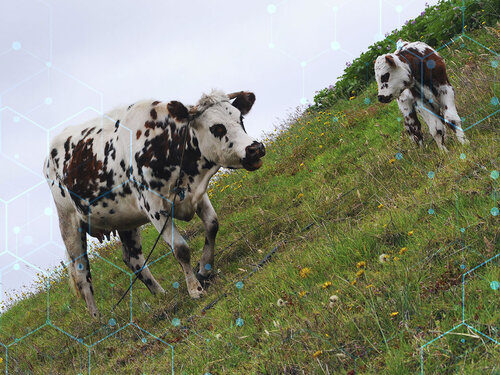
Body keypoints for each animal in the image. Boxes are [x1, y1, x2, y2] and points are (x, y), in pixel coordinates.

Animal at [44, 90, 266, 318]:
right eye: (217, 127)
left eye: (240, 119)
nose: (255, 148)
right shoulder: (154, 208)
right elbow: (180, 248)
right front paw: (194, 289)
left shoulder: (195, 193)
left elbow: (212, 225)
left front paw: (205, 270)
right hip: (69, 223)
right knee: (82, 273)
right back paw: (98, 318)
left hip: (125, 219)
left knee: (133, 260)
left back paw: (160, 294)